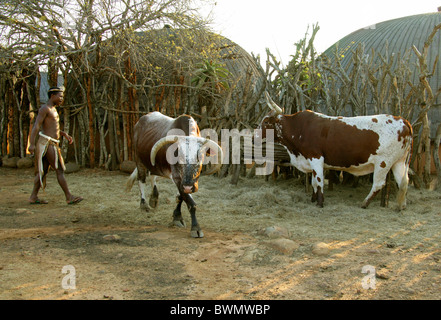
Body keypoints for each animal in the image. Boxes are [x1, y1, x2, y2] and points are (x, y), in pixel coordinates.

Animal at [258, 92, 412, 210]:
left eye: (266, 122)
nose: (255, 135)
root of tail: (403, 121)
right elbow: (313, 182)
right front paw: (313, 199)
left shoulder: (316, 157)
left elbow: (319, 181)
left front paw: (320, 203)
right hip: (399, 162)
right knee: (403, 182)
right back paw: (401, 206)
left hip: (383, 162)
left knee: (379, 184)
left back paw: (364, 203)